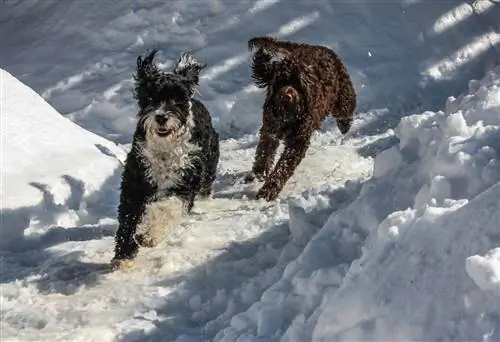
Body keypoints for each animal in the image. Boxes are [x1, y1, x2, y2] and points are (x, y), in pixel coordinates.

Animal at [112, 50, 220, 270]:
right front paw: (124, 256)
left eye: (177, 99)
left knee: (205, 188)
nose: (161, 117)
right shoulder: (136, 184)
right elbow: (128, 218)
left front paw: (149, 235)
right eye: (150, 96)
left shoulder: (185, 184)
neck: (165, 150)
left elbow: (168, 209)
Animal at [245, 36, 356, 202]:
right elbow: (264, 153)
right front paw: (258, 173)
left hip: (342, 93)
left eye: (298, 83)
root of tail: (314, 46)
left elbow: (283, 166)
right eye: (281, 81)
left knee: (346, 106)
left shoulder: (298, 140)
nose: (287, 95)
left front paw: (268, 191)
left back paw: (345, 125)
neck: (288, 116)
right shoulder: (270, 129)